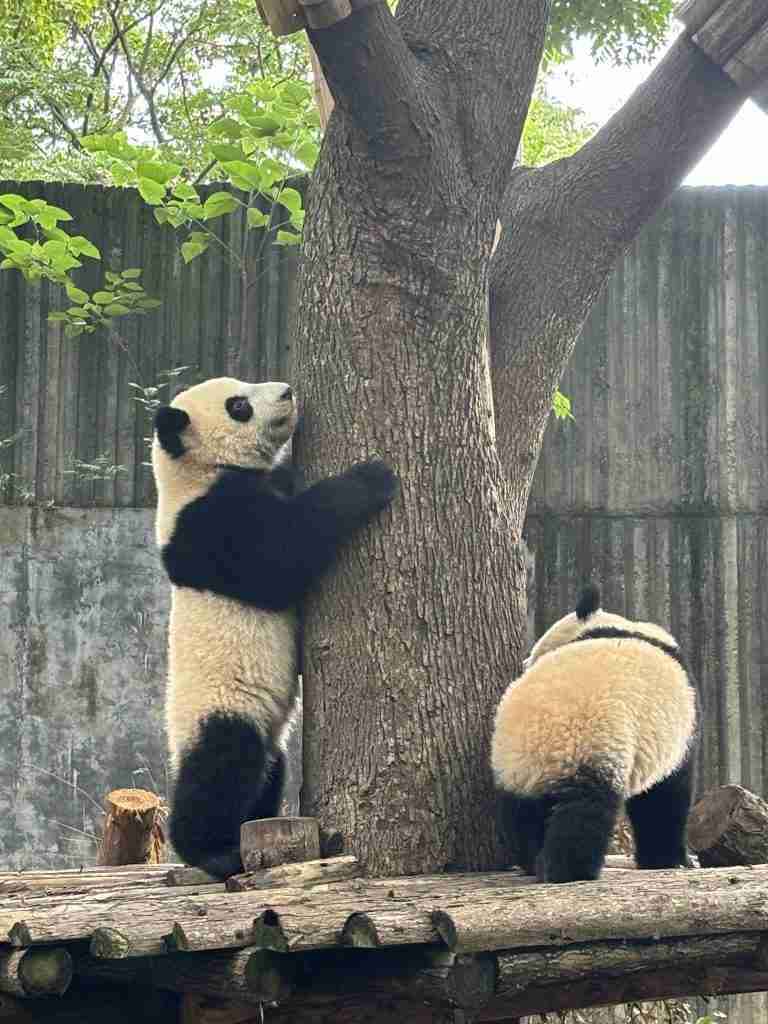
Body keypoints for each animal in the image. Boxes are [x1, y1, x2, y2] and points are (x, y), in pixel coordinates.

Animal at [151, 376, 398, 878]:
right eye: (239, 406)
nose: (287, 391)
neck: (193, 472)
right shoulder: (209, 527)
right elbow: (281, 556)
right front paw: (372, 477)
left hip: (268, 735)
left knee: (268, 770)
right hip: (220, 707)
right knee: (220, 768)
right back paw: (211, 851)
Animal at [490, 584, 698, 883]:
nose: (526, 660)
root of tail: (541, 737)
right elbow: (663, 796)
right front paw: (668, 859)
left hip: (516, 769)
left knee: (521, 814)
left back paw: (534, 862)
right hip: (593, 746)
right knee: (584, 814)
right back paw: (569, 871)